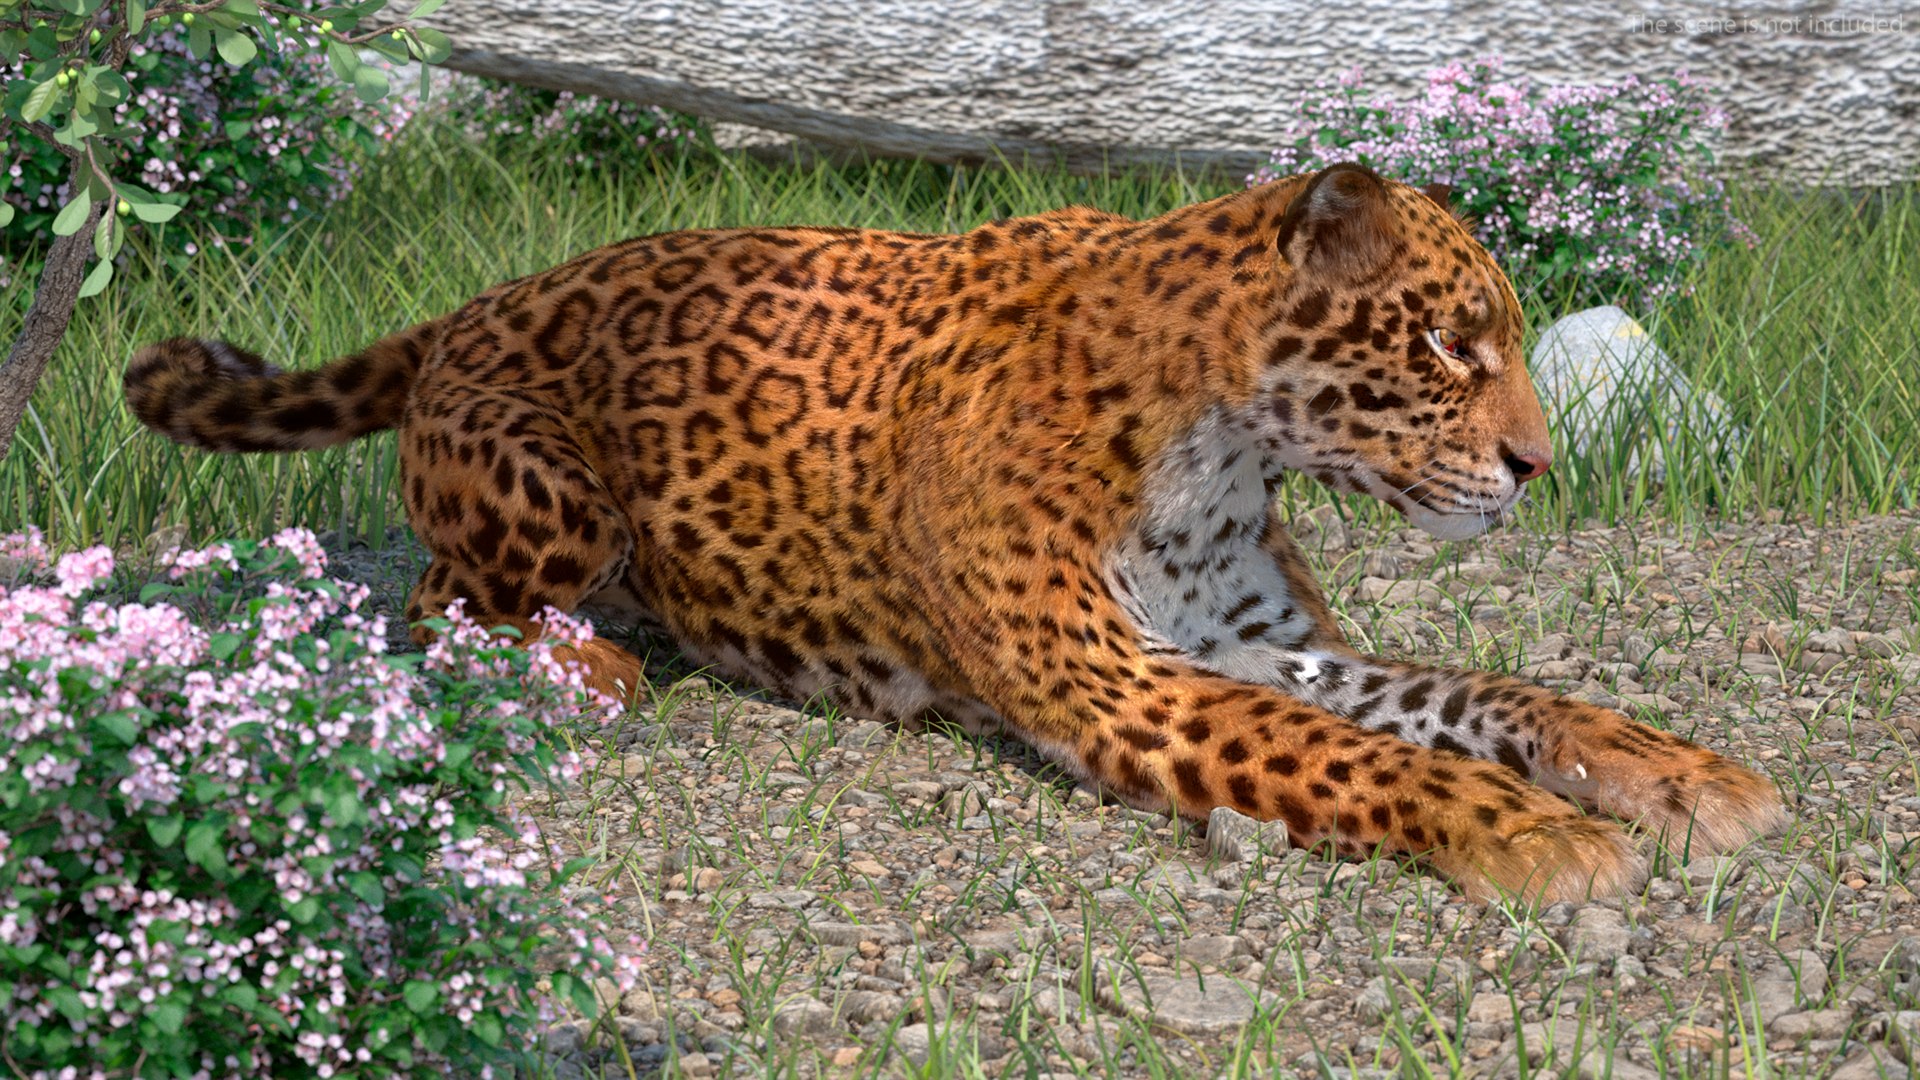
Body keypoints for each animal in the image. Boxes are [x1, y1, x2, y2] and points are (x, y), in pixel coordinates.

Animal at [125, 163, 1785, 902]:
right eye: (1447, 341)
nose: (1537, 464)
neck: (1215, 437)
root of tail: (477, 301)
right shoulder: (1120, 685)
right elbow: (1359, 758)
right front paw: (1532, 834)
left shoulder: (1253, 644)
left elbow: (1479, 693)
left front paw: (1669, 774)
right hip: (551, 499)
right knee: (430, 605)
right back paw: (588, 668)